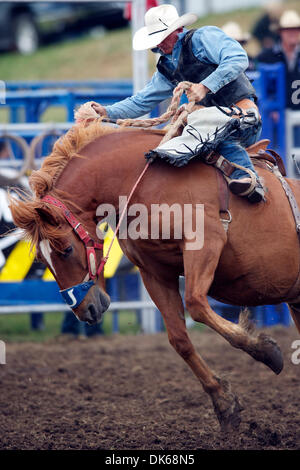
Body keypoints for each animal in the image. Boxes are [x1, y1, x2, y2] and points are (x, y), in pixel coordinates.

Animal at [9, 120, 300, 430]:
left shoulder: (205, 242)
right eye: (41, 259)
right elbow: (179, 339)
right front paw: (224, 402)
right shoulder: (154, 272)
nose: (85, 310)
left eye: (64, 250)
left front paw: (266, 351)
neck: (139, 181)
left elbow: (197, 304)